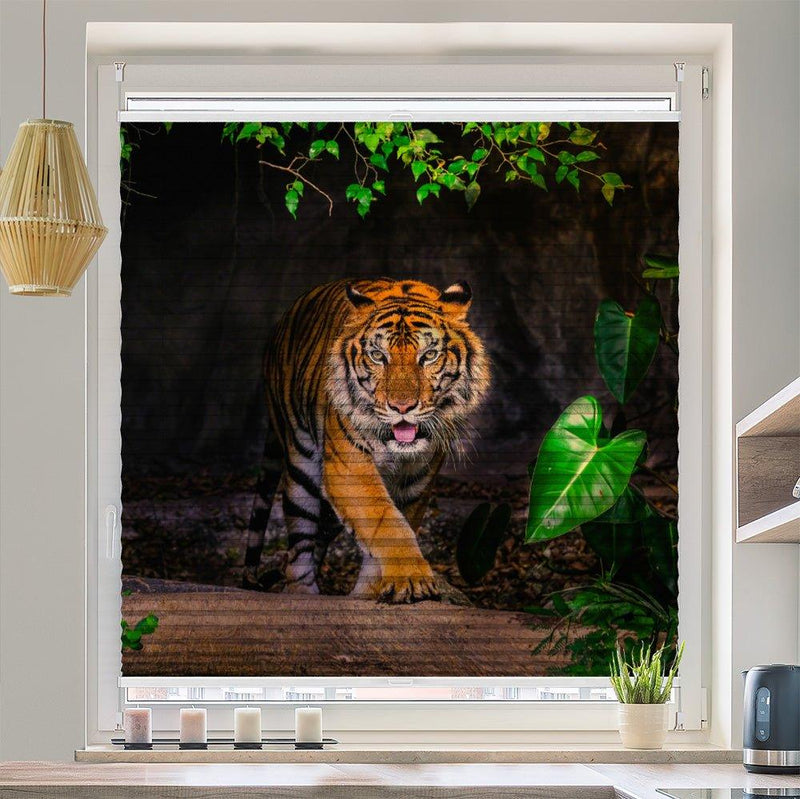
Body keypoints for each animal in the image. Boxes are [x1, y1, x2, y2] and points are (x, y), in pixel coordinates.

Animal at [244, 278, 490, 603]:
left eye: (428, 356)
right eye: (377, 356)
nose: (402, 407)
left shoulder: (417, 481)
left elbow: (394, 526)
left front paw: (371, 593)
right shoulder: (348, 469)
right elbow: (386, 521)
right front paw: (412, 579)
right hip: (301, 468)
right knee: (299, 546)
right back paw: (302, 593)